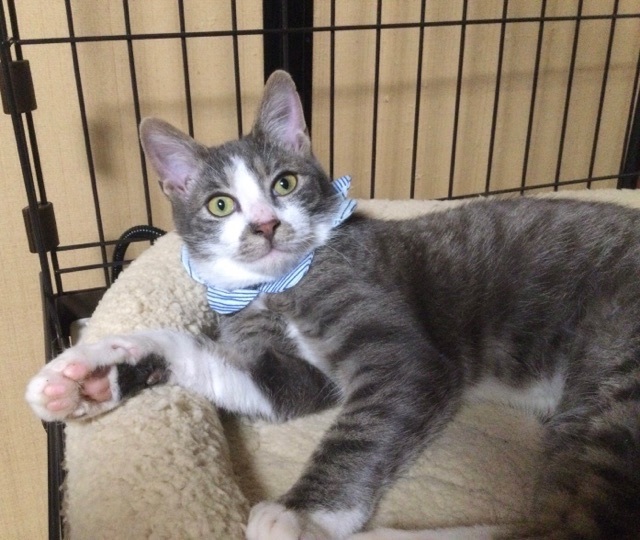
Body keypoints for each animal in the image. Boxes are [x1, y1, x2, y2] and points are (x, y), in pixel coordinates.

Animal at [26, 70, 640, 540]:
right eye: (220, 204)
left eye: (285, 183)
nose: (266, 225)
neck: (277, 289)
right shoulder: (284, 370)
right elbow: (237, 371)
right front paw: (88, 374)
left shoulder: (404, 354)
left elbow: (364, 425)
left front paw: (299, 515)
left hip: (619, 370)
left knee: (572, 522)